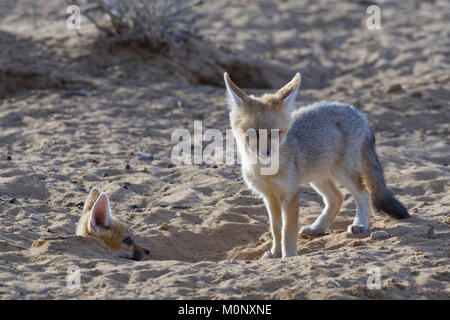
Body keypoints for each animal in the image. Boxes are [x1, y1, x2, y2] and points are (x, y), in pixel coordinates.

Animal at [223, 71, 410, 258]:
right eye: (252, 134)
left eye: (275, 134)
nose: (266, 153)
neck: (265, 171)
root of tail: (358, 113)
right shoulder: (269, 197)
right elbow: (276, 229)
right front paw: (275, 253)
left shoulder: (290, 194)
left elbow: (287, 230)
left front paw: (289, 255)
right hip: (318, 177)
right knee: (337, 198)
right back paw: (317, 228)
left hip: (343, 173)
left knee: (363, 194)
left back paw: (360, 224)